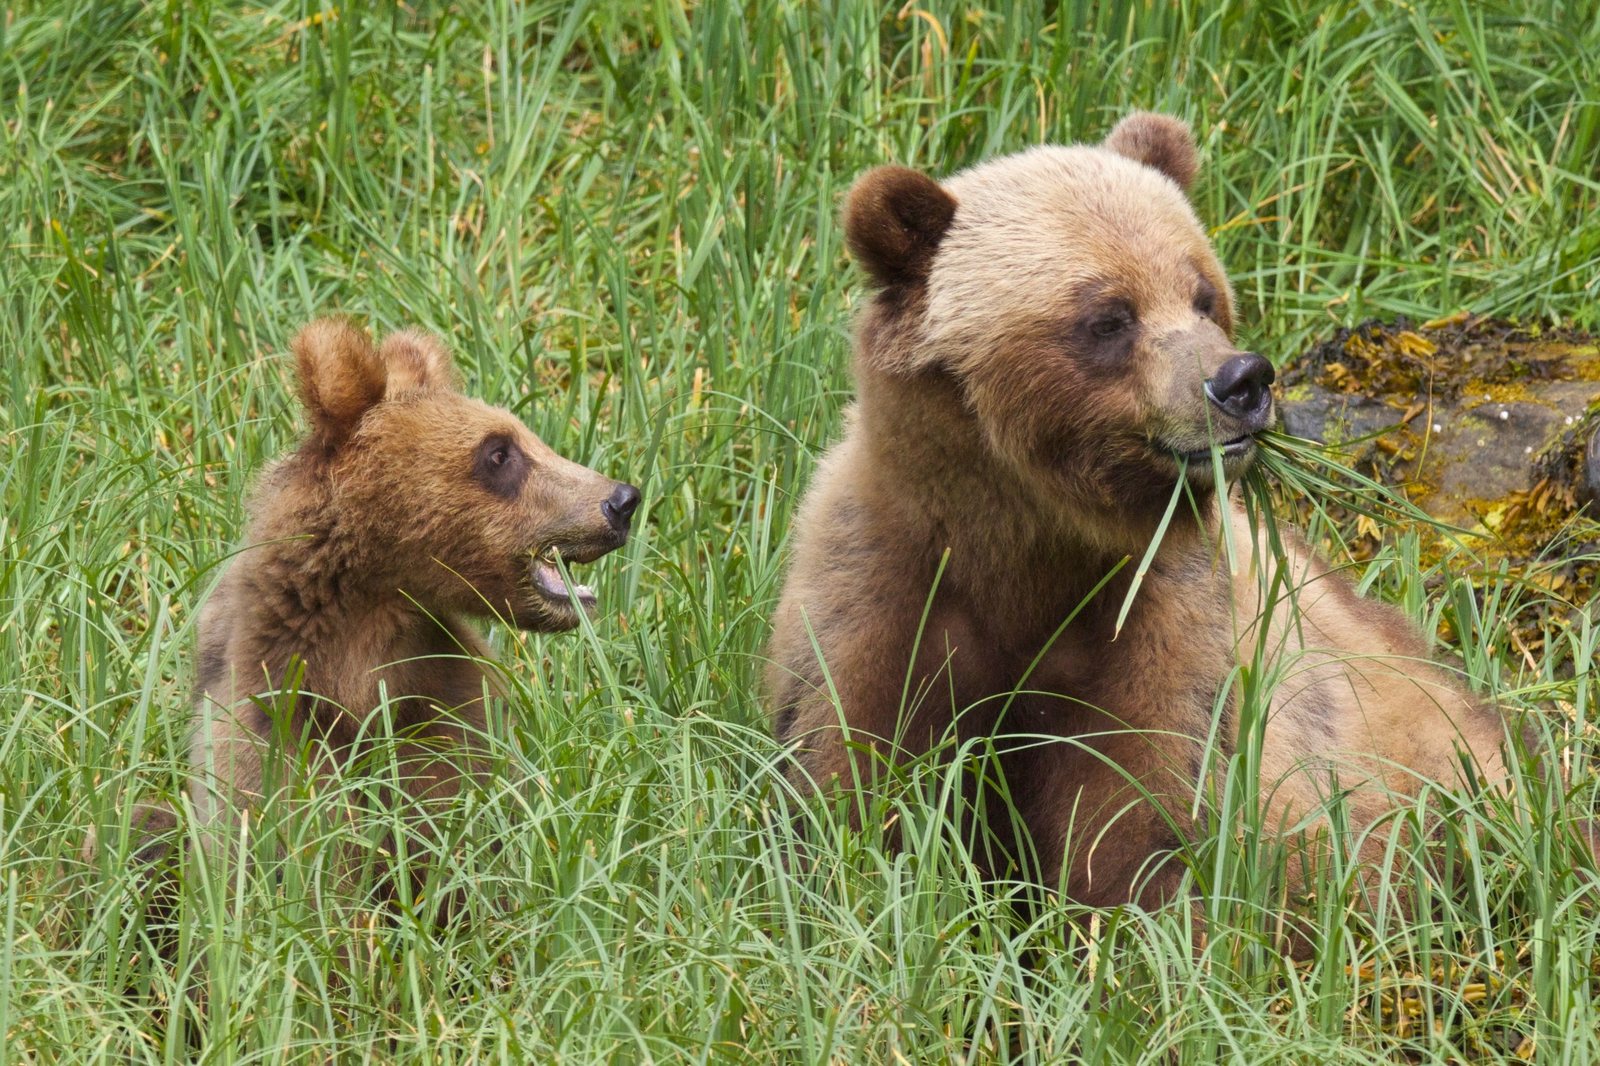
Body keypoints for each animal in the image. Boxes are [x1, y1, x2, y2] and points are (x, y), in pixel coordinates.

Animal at [121, 317, 640, 906]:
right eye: (499, 453)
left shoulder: (449, 714)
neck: (361, 666)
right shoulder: (272, 736)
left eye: (520, 435)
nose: (621, 500)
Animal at [766, 112, 1515, 913]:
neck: (1027, 546)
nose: (1241, 380)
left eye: (1203, 293)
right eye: (1108, 316)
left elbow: (1136, 810)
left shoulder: (1161, 623)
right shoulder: (883, 589)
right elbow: (853, 774)